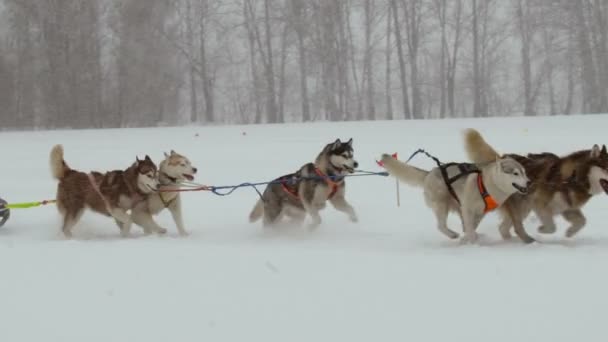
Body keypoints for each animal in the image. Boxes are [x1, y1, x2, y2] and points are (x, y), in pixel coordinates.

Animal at [380, 152, 528, 243]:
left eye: (524, 172)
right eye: (515, 173)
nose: (529, 182)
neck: (487, 184)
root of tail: (429, 173)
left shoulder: (479, 213)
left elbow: (471, 228)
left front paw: (469, 239)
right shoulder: (468, 209)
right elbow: (470, 229)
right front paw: (473, 243)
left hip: (456, 206)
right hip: (442, 205)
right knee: (440, 226)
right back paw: (452, 234)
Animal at [464, 128, 608, 240]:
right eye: (606, 168)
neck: (573, 177)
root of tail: (499, 160)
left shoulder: (568, 208)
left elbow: (582, 222)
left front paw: (569, 233)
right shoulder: (539, 203)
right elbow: (552, 227)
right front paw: (542, 229)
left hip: (524, 209)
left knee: (503, 228)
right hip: (522, 207)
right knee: (509, 227)